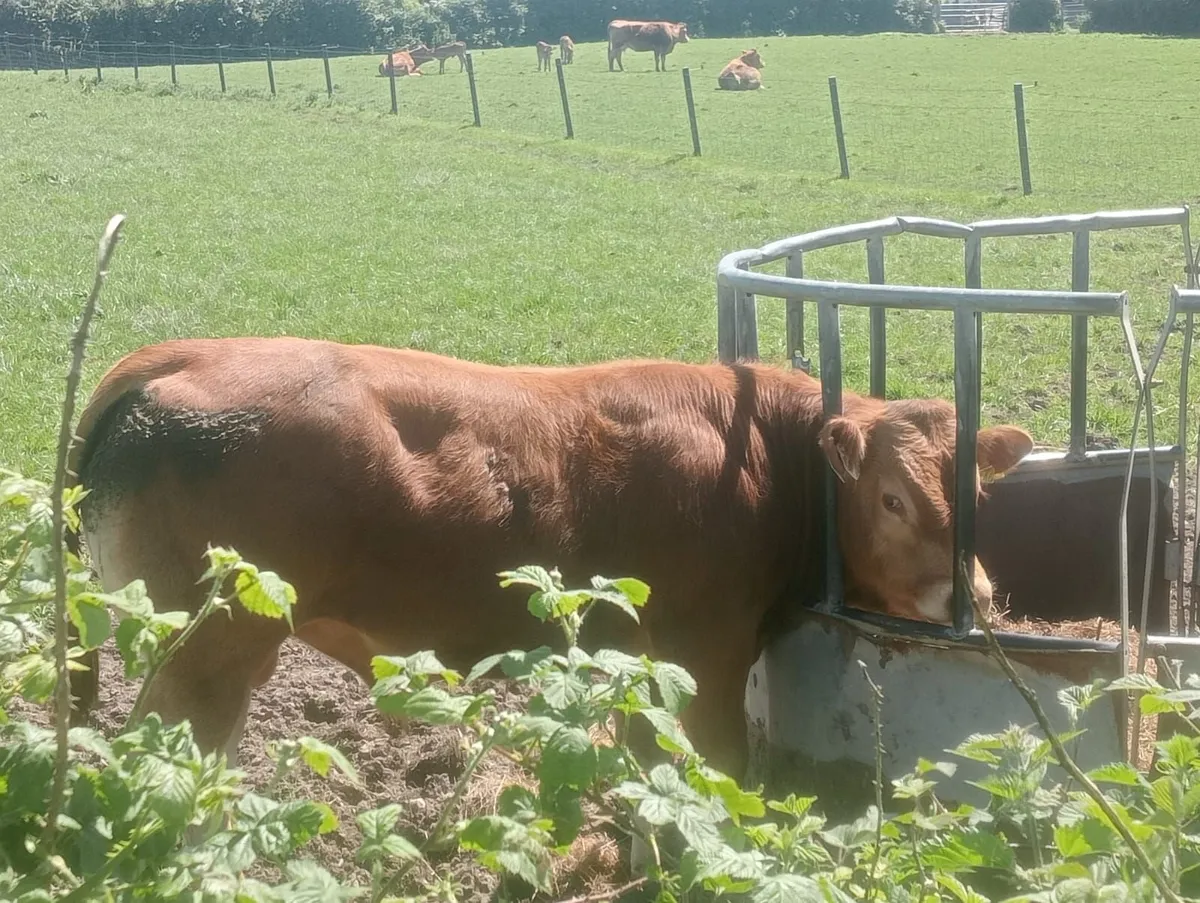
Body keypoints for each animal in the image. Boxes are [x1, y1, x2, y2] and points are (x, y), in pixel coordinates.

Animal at [65, 337, 1033, 787]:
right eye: (892, 497)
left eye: (979, 498)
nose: (978, 594)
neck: (759, 453)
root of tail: (180, 356)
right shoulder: (704, 655)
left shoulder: (644, 667)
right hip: (205, 653)